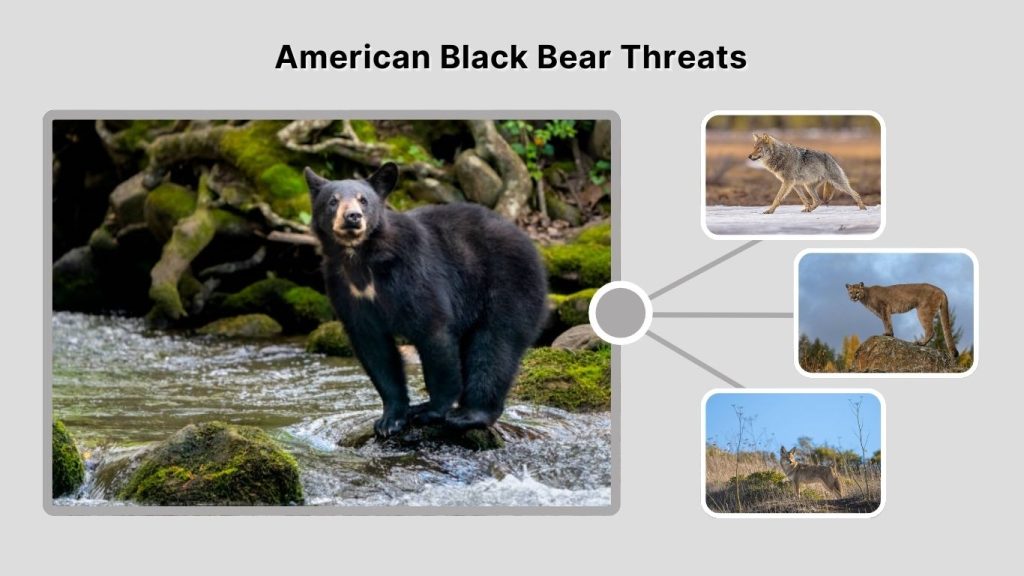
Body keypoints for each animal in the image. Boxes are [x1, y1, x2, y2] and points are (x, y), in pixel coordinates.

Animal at [305, 163, 548, 437]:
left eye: (363, 200)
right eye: (333, 201)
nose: (353, 217)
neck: (361, 259)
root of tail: (531, 244)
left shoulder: (413, 273)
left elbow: (434, 331)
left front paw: (430, 410)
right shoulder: (346, 291)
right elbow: (375, 349)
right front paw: (390, 419)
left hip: (508, 284)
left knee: (496, 345)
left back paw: (469, 415)